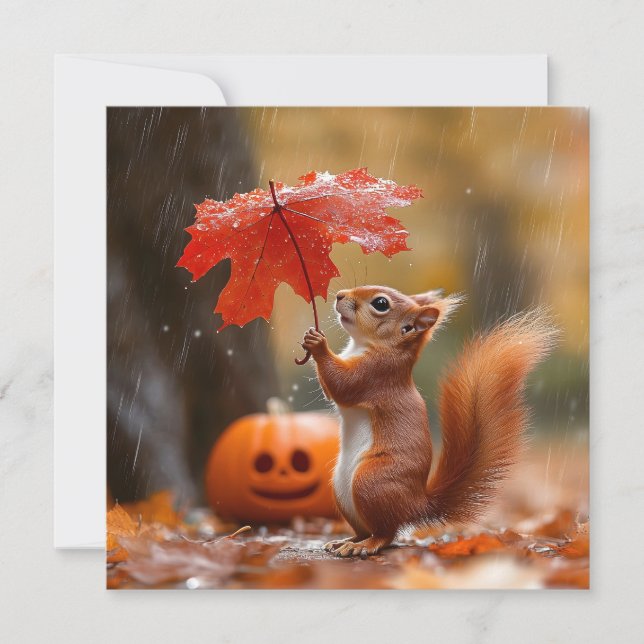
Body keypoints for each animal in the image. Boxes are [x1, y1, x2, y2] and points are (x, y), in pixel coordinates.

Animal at [301, 285, 557, 558]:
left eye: (380, 304)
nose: (340, 295)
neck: (373, 346)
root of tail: (414, 505)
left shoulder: (376, 373)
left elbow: (342, 385)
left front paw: (317, 344)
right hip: (340, 488)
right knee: (369, 529)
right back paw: (346, 541)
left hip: (371, 481)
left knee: (385, 533)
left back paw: (363, 546)